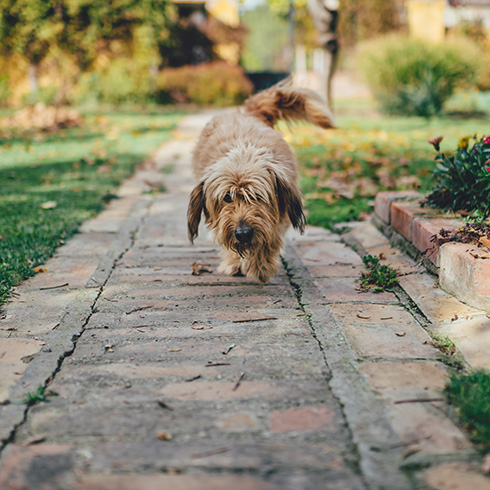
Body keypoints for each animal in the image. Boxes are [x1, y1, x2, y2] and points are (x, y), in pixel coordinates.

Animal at [187, 83, 334, 284]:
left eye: (257, 196)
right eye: (227, 198)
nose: (243, 233)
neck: (242, 153)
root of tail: (246, 111)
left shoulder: (279, 217)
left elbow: (269, 237)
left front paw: (260, 267)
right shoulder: (225, 224)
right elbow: (226, 235)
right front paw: (236, 262)